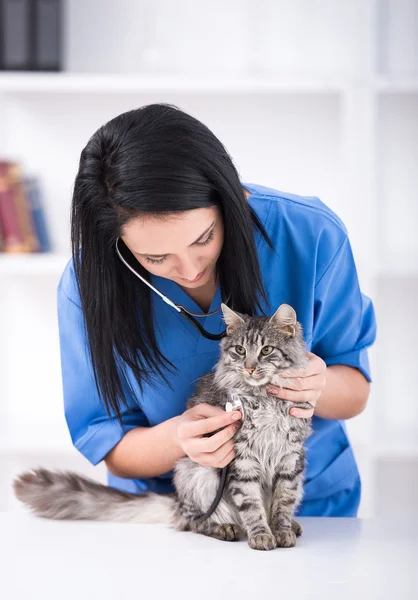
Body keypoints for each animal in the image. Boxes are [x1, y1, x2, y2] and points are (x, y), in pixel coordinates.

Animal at [13, 302, 312, 552]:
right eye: (240, 350)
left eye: (266, 350)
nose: (249, 368)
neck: (264, 399)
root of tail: (177, 502)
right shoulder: (242, 460)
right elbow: (251, 505)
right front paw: (261, 535)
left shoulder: (290, 460)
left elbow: (282, 503)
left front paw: (281, 531)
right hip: (199, 477)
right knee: (196, 521)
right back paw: (224, 528)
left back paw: (294, 526)